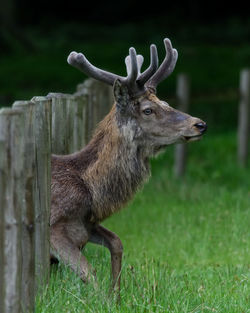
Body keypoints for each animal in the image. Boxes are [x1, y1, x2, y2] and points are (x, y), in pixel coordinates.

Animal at [49, 37, 206, 296]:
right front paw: (103, 299)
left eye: (166, 102)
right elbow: (89, 273)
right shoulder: (54, 227)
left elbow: (117, 243)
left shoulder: (88, 225)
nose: (200, 124)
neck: (91, 190)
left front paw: (116, 294)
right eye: (148, 110)